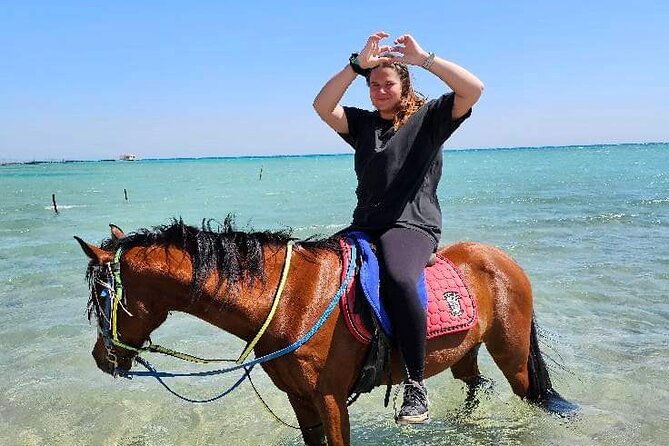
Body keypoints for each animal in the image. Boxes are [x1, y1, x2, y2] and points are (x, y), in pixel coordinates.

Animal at [75, 219, 577, 446]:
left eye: (101, 296)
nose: (101, 358)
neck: (293, 301)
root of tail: (502, 260)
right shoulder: (301, 399)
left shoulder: (331, 398)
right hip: (463, 354)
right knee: (474, 385)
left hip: (512, 356)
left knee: (527, 394)